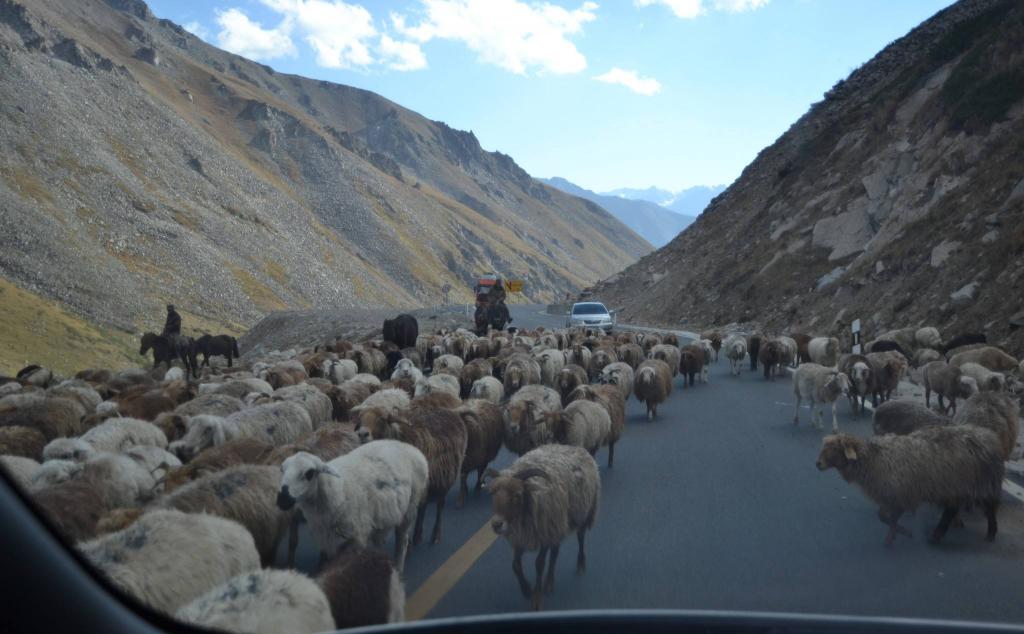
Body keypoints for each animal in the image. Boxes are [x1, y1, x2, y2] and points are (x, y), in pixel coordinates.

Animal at [276, 444, 428, 573]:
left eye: (310, 473)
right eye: (282, 469)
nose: (282, 500)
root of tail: (411, 448)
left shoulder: (355, 540)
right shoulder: (330, 541)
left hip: (410, 508)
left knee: (402, 541)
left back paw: (399, 568)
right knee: (380, 541)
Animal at [352, 407, 464, 544]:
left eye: (382, 419)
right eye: (360, 419)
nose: (362, 434)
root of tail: (451, 412)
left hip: (445, 479)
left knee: (440, 506)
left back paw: (436, 535)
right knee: (423, 506)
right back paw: (417, 536)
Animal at [485, 444, 598, 614]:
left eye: (517, 495)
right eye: (492, 493)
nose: (497, 524)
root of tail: (576, 447)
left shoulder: (544, 532)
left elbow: (539, 564)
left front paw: (536, 598)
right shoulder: (521, 537)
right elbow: (515, 566)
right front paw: (526, 589)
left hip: (583, 512)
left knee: (580, 537)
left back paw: (580, 564)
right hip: (558, 524)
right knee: (555, 552)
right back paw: (549, 582)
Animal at [819, 428, 1003, 548]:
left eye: (835, 448)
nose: (817, 464)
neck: (875, 459)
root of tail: (989, 437)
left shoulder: (902, 494)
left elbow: (889, 518)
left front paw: (898, 535)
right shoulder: (892, 495)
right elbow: (883, 517)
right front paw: (895, 535)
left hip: (981, 484)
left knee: (987, 508)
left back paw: (989, 533)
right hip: (957, 487)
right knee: (953, 510)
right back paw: (939, 534)